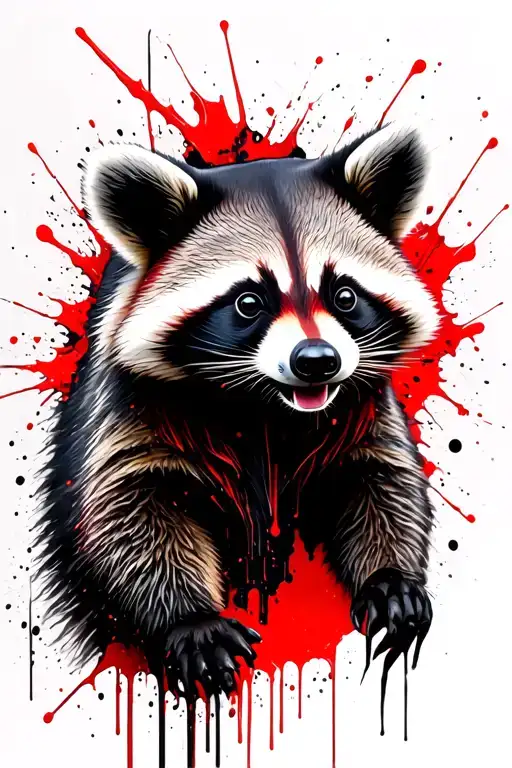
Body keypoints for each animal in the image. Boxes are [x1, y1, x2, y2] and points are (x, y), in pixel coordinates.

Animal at [36, 123, 438, 704]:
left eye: (344, 295)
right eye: (249, 302)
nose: (317, 361)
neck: (269, 407)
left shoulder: (362, 403)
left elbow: (382, 480)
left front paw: (390, 577)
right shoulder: (128, 402)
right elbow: (128, 509)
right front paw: (190, 619)